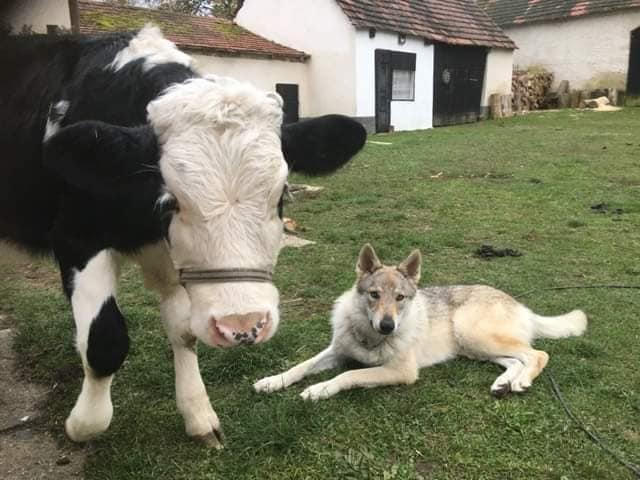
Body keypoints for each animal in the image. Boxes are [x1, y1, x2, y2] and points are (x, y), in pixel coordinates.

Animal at [0, 24, 368, 448]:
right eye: (172, 200)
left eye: (282, 195)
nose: (243, 326)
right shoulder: (76, 237)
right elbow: (104, 339)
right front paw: (82, 424)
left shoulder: (169, 254)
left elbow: (183, 330)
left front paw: (198, 414)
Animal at [252, 246, 588, 400]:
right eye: (374, 294)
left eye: (400, 297)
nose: (388, 326)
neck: (370, 338)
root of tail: (519, 303)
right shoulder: (336, 350)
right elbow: (301, 366)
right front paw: (273, 381)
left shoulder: (401, 372)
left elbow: (348, 375)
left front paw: (320, 389)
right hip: (474, 347)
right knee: (515, 360)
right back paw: (503, 383)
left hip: (472, 333)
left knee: (537, 355)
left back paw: (520, 381)